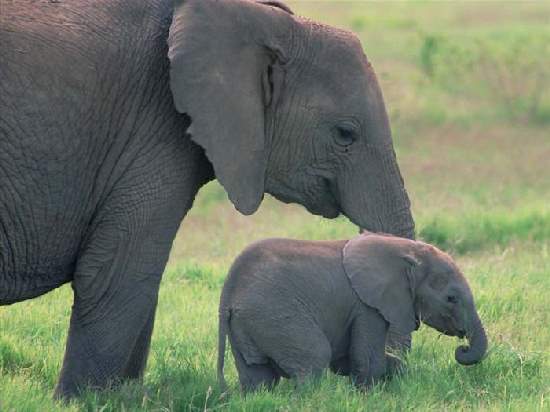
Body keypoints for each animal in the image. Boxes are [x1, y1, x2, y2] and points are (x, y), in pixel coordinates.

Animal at [0, 0, 414, 400]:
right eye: (345, 134)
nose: (390, 372)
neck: (265, 21)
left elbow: (139, 282)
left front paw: (127, 396)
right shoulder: (152, 133)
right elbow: (117, 275)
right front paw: (81, 402)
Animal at [218, 233, 490, 392]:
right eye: (451, 298)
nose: (462, 348)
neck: (408, 251)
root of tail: (229, 291)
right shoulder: (367, 306)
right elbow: (368, 358)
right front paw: (370, 395)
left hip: (247, 323)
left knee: (257, 376)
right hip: (274, 314)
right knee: (314, 358)